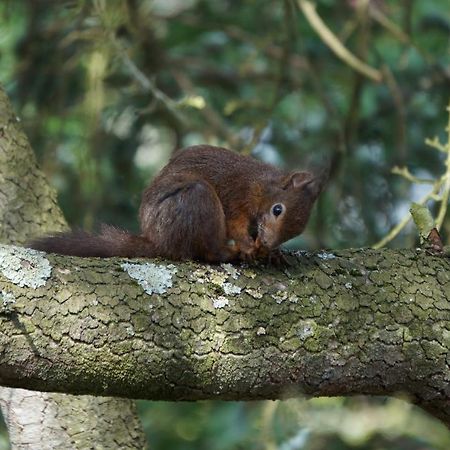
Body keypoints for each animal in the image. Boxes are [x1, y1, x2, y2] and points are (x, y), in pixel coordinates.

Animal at [30, 146, 326, 262]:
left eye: (297, 231)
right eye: (278, 210)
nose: (267, 242)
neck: (262, 186)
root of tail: (158, 240)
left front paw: (274, 254)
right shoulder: (237, 196)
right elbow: (237, 224)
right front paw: (248, 246)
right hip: (196, 199)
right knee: (206, 252)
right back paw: (229, 252)